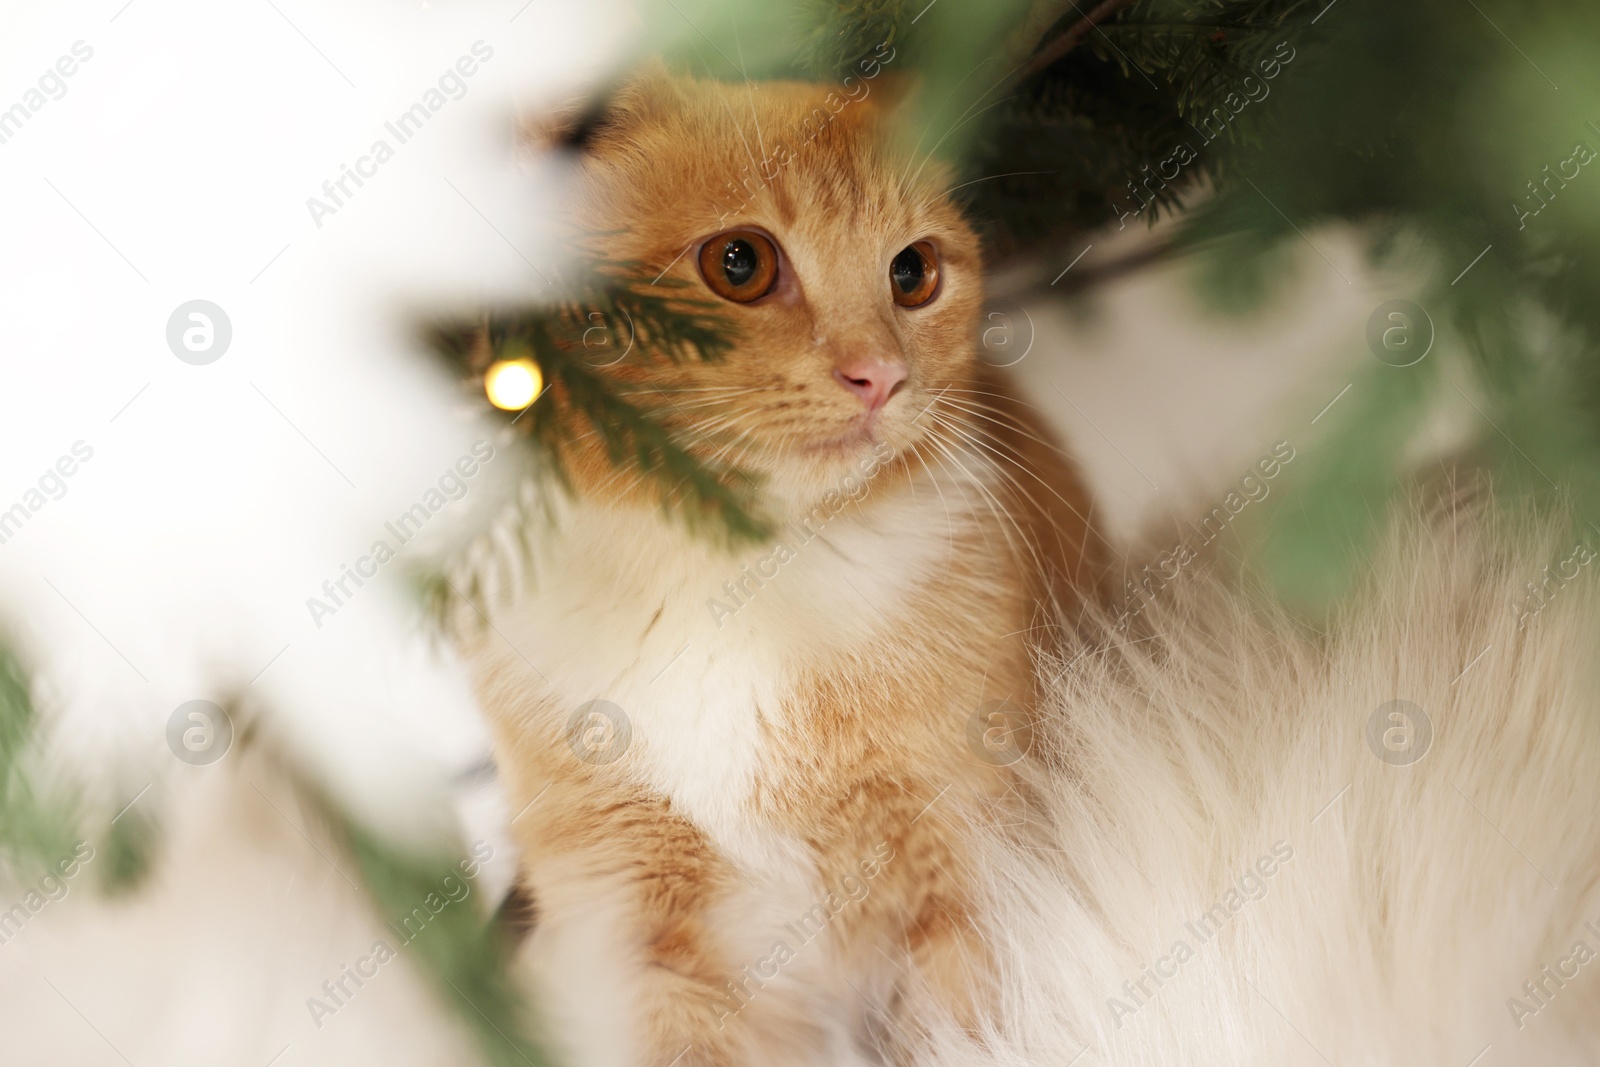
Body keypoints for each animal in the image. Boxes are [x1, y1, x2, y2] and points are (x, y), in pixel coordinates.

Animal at [467, 68, 1100, 1067]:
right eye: (740, 264)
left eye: (913, 273)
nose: (880, 374)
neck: (730, 584)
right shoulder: (639, 936)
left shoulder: (970, 863)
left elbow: (963, 1029)